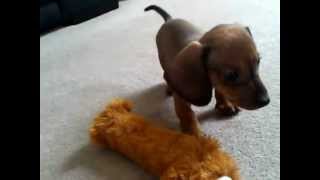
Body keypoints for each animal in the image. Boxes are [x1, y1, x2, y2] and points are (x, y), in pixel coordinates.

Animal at [146, 4, 270, 136]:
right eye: (231, 75)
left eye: (258, 62)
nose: (266, 101)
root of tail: (169, 19)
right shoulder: (181, 97)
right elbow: (186, 113)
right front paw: (194, 133)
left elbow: (220, 89)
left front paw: (225, 104)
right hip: (162, 58)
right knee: (166, 72)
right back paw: (169, 87)